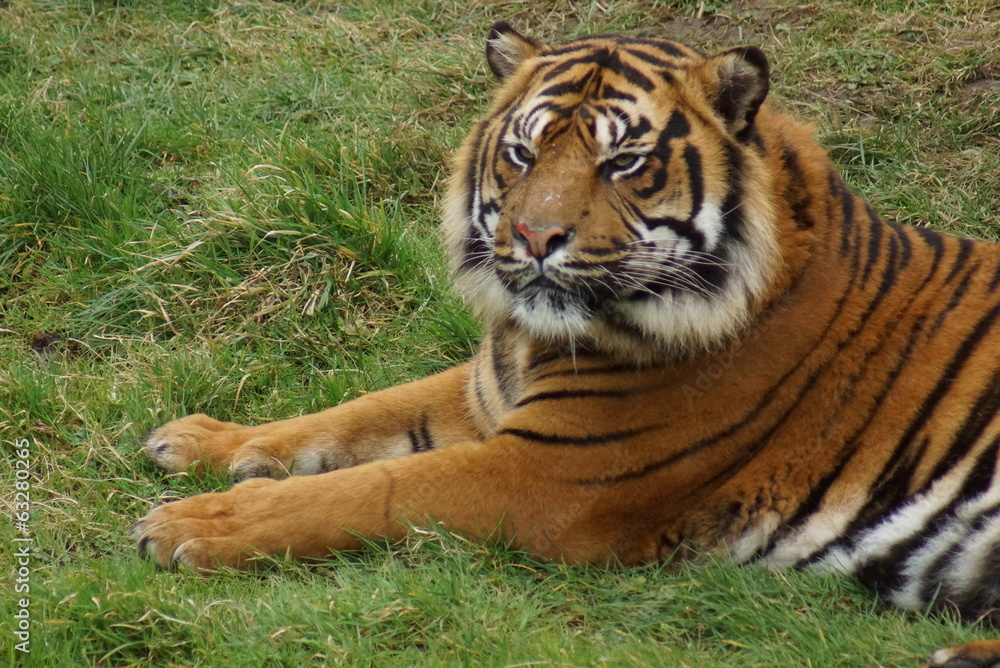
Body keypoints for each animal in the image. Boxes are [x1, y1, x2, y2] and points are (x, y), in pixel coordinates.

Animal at [131, 22, 1000, 667]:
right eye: (523, 152)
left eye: (623, 163)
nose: (533, 236)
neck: (538, 340)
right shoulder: (484, 394)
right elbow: (352, 415)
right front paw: (201, 440)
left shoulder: (547, 475)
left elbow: (364, 488)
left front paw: (189, 526)